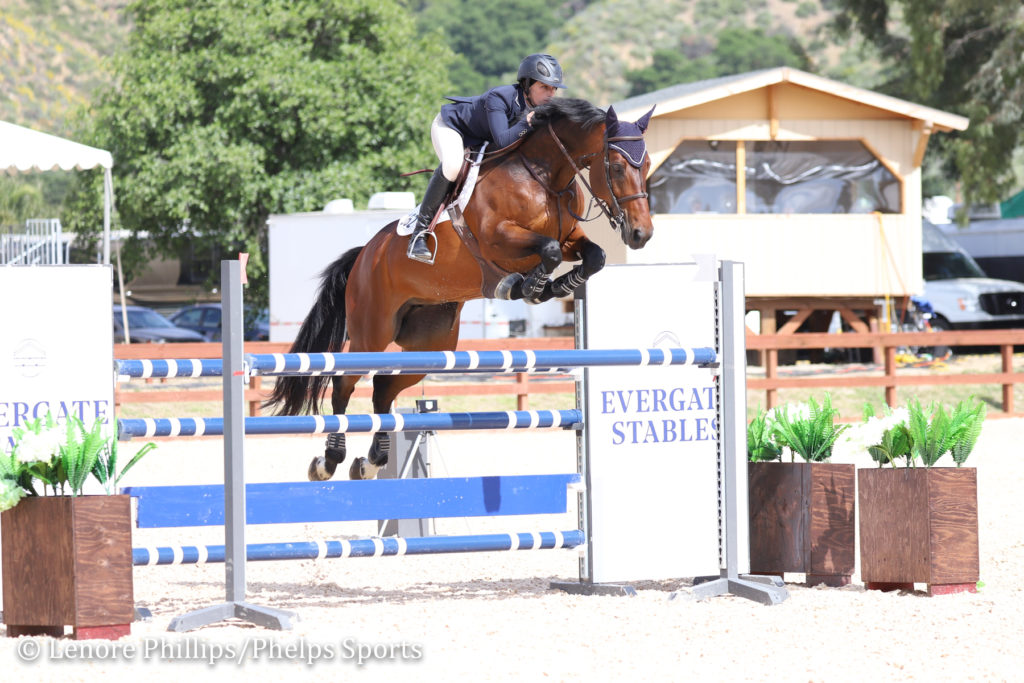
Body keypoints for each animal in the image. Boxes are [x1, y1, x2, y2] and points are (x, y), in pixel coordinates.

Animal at [268, 97, 655, 481]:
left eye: (647, 164)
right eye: (616, 167)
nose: (642, 234)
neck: (545, 176)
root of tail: (364, 254)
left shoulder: (571, 235)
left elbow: (594, 255)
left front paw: (557, 285)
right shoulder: (498, 235)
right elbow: (548, 250)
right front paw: (526, 285)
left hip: (428, 344)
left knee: (382, 390)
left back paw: (371, 461)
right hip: (371, 333)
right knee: (344, 384)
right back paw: (329, 460)